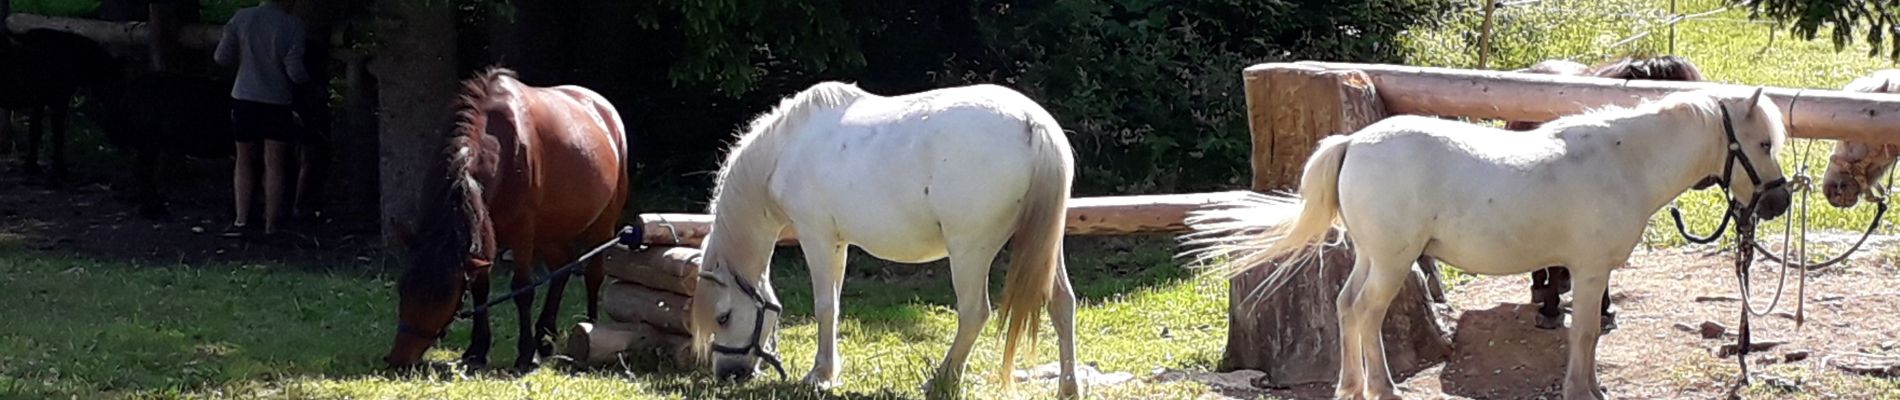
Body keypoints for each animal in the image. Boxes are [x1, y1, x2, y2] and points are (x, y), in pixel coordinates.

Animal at [0, 28, 122, 178]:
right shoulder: (60, 100)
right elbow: (58, 134)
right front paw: (60, 170)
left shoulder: (39, 102)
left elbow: (35, 131)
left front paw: (32, 166)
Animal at [383, 67, 630, 369]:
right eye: (402, 288)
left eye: (442, 296)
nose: (398, 359)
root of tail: (605, 110)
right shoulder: (482, 236)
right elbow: (481, 289)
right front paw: (477, 350)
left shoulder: (522, 233)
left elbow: (522, 289)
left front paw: (525, 355)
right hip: (551, 230)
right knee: (561, 267)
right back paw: (545, 337)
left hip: (602, 223)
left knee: (593, 274)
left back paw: (591, 329)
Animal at [695, 80, 1086, 396]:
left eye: (723, 317)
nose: (728, 374)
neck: (784, 150)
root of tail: (1032, 124)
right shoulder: (838, 242)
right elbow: (834, 305)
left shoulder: (816, 235)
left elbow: (825, 306)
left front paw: (820, 375)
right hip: (1046, 246)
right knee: (1062, 303)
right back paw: (1068, 388)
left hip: (970, 251)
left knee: (975, 313)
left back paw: (941, 380)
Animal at [1178, 88, 1786, 400]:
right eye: (1761, 143)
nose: (1778, 201)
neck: (1621, 160)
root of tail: (1353, 142)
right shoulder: (1589, 270)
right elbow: (1585, 333)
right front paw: (1583, 392)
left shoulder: (1594, 272)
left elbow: (1587, 335)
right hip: (1394, 261)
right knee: (1366, 314)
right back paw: (1384, 390)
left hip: (1373, 256)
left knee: (1347, 307)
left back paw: (1353, 387)